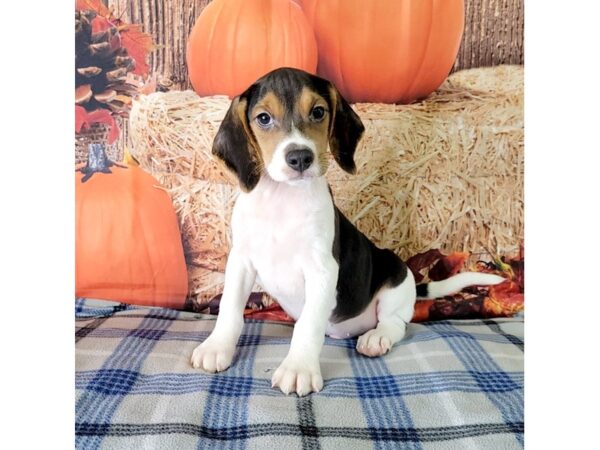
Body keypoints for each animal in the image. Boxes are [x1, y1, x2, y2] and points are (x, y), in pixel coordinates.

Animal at [191, 67, 502, 398]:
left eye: (318, 112)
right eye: (263, 118)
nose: (300, 158)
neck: (282, 199)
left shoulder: (322, 269)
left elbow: (308, 325)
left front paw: (299, 368)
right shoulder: (241, 262)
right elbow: (229, 310)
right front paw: (217, 347)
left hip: (394, 277)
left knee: (395, 324)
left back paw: (376, 338)